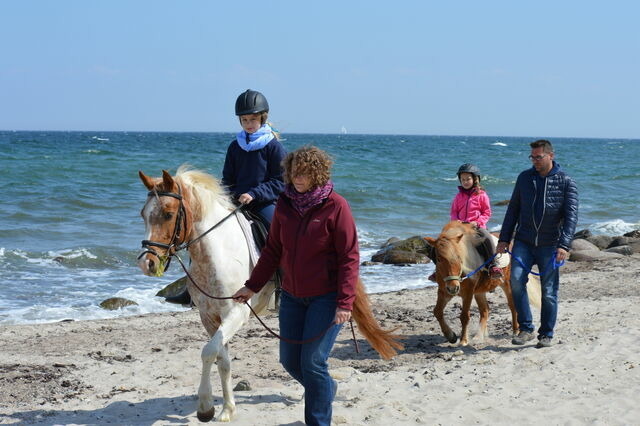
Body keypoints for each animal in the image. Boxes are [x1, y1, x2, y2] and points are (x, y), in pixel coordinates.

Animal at [138, 166, 402, 422]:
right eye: (143, 214)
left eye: (168, 214)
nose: (147, 263)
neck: (218, 254)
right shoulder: (209, 317)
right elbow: (222, 360)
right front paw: (226, 410)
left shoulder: (236, 313)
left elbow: (208, 352)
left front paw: (205, 408)